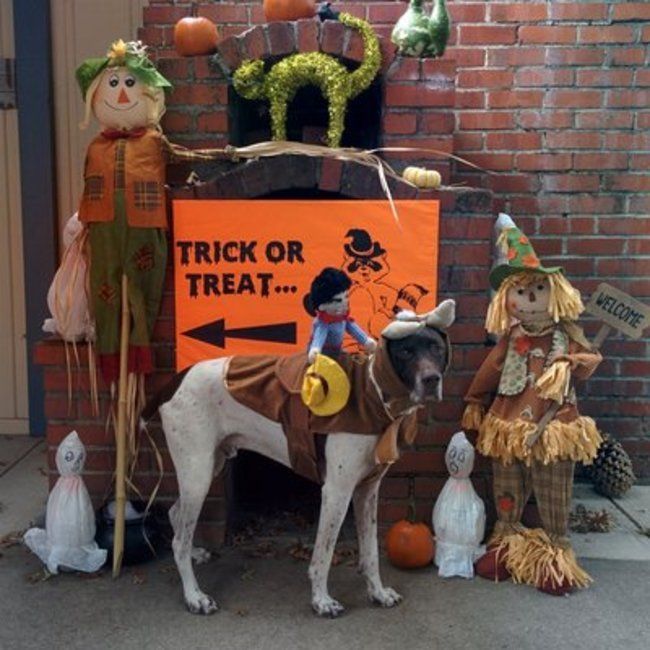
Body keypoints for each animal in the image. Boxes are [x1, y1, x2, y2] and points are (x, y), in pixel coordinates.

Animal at [140, 298, 456, 612]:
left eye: (437, 348)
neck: (372, 394)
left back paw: (195, 556)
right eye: (405, 351)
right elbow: (324, 555)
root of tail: (175, 381)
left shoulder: (367, 490)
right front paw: (321, 600)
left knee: (176, 516)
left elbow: (371, 553)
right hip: (198, 473)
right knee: (178, 541)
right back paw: (194, 596)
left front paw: (378, 593)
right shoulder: (336, 492)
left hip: (209, 465)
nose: (431, 380)